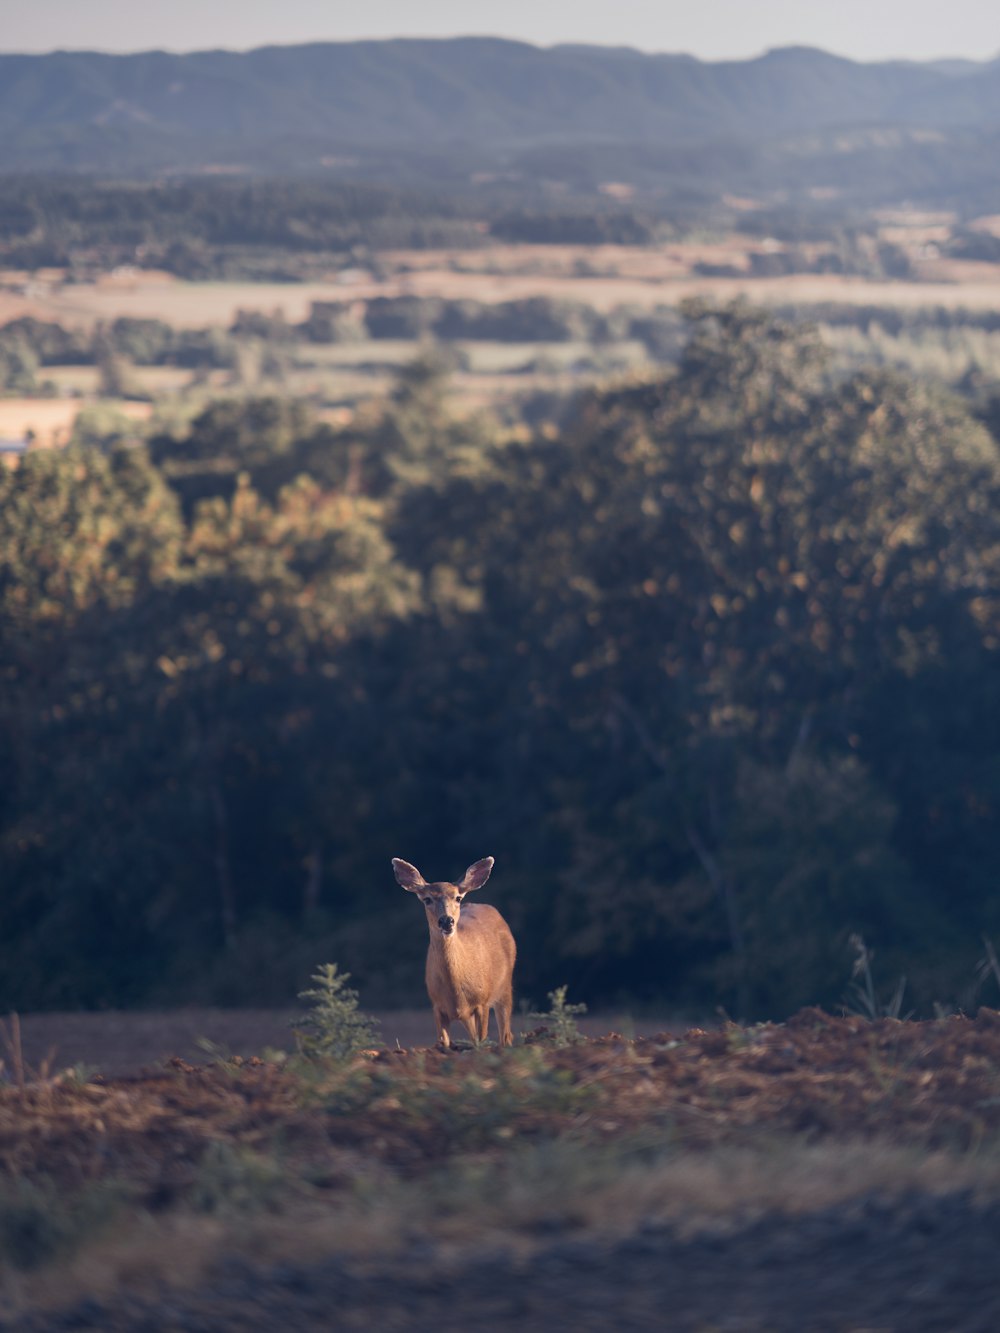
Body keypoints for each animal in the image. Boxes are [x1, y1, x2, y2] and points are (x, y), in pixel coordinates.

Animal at [392, 853, 517, 1050]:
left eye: (457, 898)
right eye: (427, 899)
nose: (446, 921)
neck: (456, 991)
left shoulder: (482, 1001)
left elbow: (482, 1040)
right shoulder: (437, 1006)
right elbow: (444, 1043)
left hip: (505, 986)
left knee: (506, 1035)